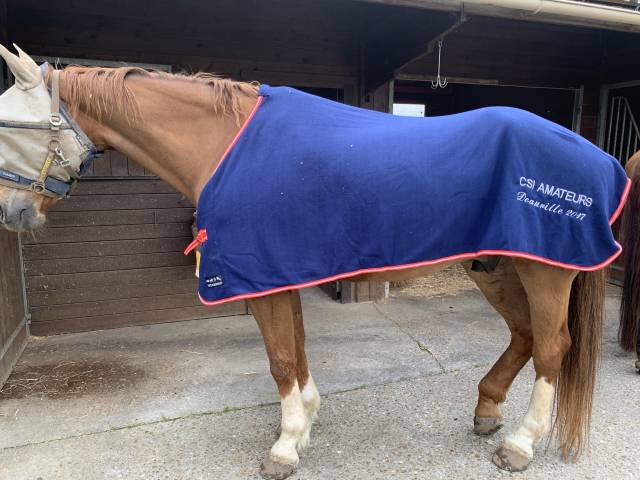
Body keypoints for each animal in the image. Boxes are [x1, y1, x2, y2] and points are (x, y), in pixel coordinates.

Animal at [0, 44, 631, 479]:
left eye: (8, 132)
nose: (12, 214)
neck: (224, 147)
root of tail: (600, 158)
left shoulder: (262, 279)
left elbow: (281, 358)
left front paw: (284, 447)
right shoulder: (283, 273)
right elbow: (297, 352)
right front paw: (305, 420)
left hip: (545, 272)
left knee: (551, 348)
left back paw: (520, 444)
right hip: (499, 267)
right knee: (524, 336)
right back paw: (487, 410)